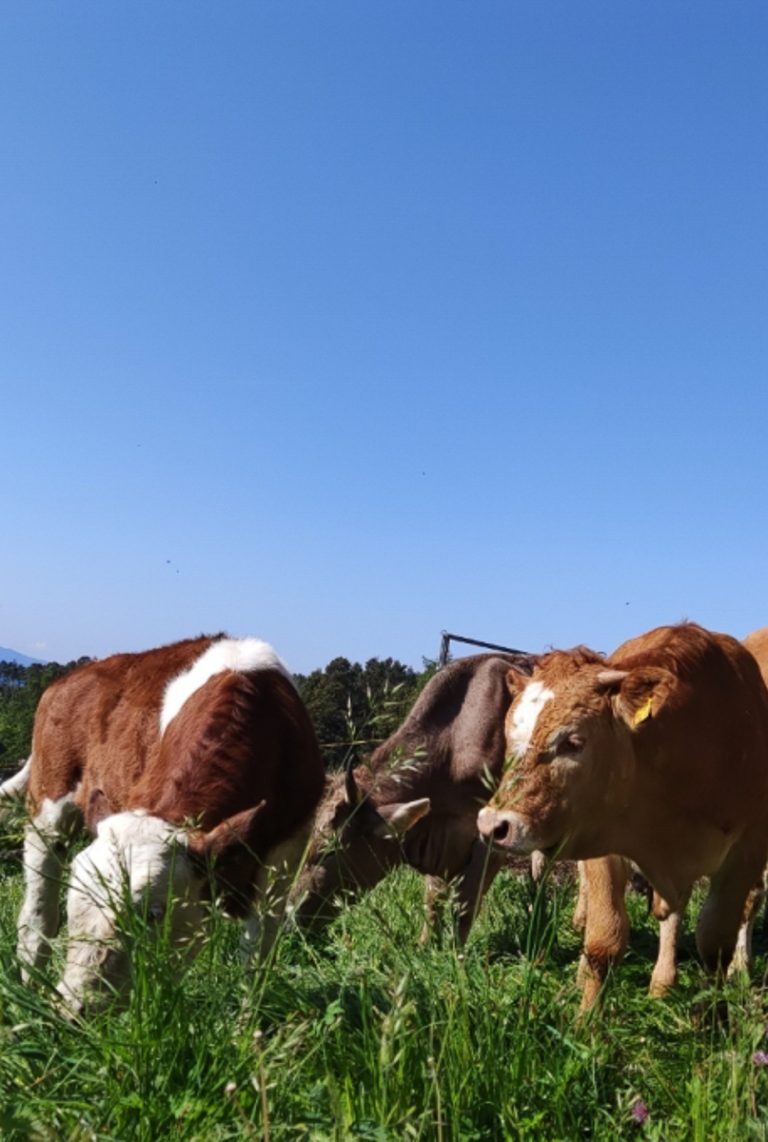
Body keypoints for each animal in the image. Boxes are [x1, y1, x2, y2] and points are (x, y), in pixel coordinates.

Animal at [6, 634, 324, 1018]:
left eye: (152, 914)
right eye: (76, 901)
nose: (76, 1008)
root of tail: (68, 679)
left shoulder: (287, 852)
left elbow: (257, 956)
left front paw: (248, 1026)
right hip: (47, 804)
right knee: (37, 919)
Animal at [290, 648, 536, 941]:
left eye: (330, 849)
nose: (289, 918)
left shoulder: (489, 840)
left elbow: (466, 904)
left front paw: (457, 952)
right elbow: (433, 897)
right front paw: (426, 944)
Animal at [477, 625, 768, 1009]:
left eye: (573, 741)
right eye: (510, 737)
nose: (492, 825)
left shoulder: (747, 851)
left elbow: (715, 943)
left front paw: (715, 1016)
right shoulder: (604, 843)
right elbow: (604, 941)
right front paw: (586, 1020)